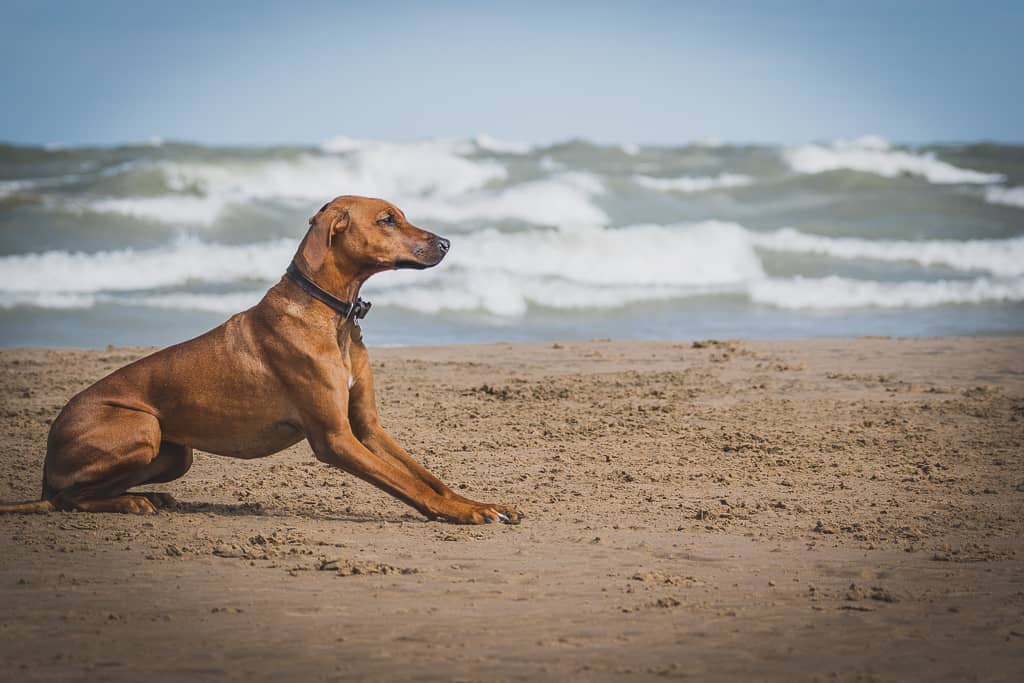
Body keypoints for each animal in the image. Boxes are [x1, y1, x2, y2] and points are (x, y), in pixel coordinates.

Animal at [0, 194, 524, 528]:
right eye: (387, 220)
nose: (447, 243)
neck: (331, 314)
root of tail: (45, 468)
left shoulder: (367, 427)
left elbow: (428, 476)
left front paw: (477, 503)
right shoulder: (335, 438)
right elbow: (409, 486)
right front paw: (462, 514)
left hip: (175, 453)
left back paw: (145, 495)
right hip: (141, 427)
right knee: (67, 499)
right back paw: (130, 504)